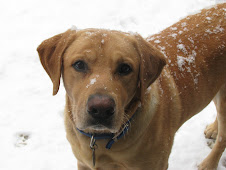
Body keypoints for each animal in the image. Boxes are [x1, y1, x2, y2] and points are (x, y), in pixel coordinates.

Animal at [37, 2, 226, 170]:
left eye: (125, 68)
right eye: (79, 64)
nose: (101, 109)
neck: (100, 141)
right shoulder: (83, 163)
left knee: (223, 138)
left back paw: (209, 164)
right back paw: (213, 128)